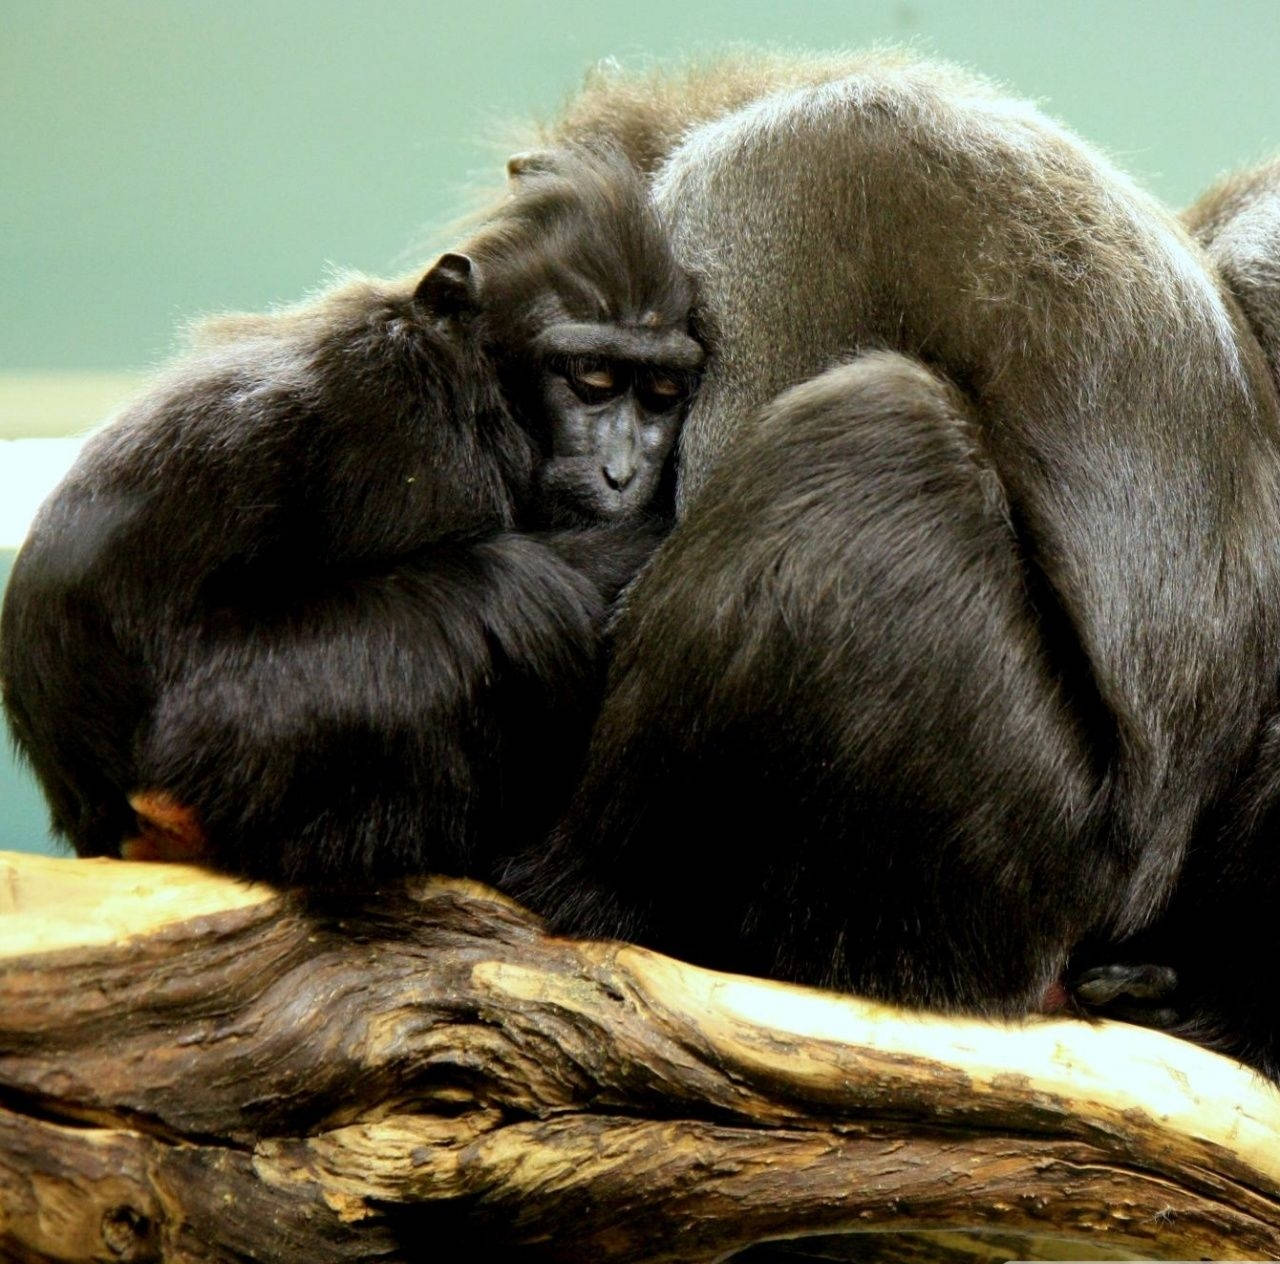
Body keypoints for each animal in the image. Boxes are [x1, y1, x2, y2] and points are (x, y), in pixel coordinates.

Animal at [0, 147, 703, 887]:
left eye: (661, 393)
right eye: (592, 379)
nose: (622, 469)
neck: (476, 385)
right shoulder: (409, 437)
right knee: (505, 587)